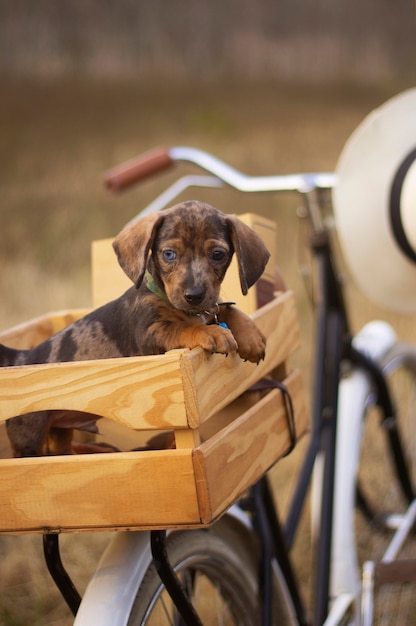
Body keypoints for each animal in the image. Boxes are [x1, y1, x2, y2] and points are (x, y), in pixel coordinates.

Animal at [0, 202, 270, 456]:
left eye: (217, 254)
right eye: (169, 254)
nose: (194, 295)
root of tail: (20, 357)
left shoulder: (209, 308)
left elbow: (226, 310)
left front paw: (251, 336)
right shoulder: (150, 333)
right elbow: (183, 329)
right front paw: (211, 332)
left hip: (60, 426)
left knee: (59, 449)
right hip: (29, 437)